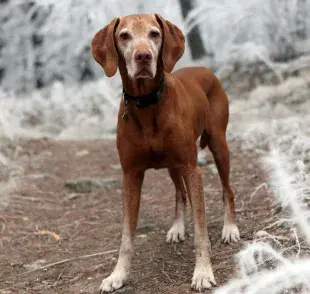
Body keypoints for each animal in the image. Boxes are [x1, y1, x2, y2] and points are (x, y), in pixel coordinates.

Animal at [91, 13, 241, 292]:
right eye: (124, 36)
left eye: (155, 34)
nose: (143, 56)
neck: (147, 103)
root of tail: (206, 69)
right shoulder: (130, 175)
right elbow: (126, 236)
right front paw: (118, 275)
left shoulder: (192, 169)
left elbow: (201, 230)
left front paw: (202, 272)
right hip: (173, 165)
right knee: (180, 193)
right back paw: (178, 227)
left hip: (218, 145)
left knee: (228, 190)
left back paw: (230, 228)